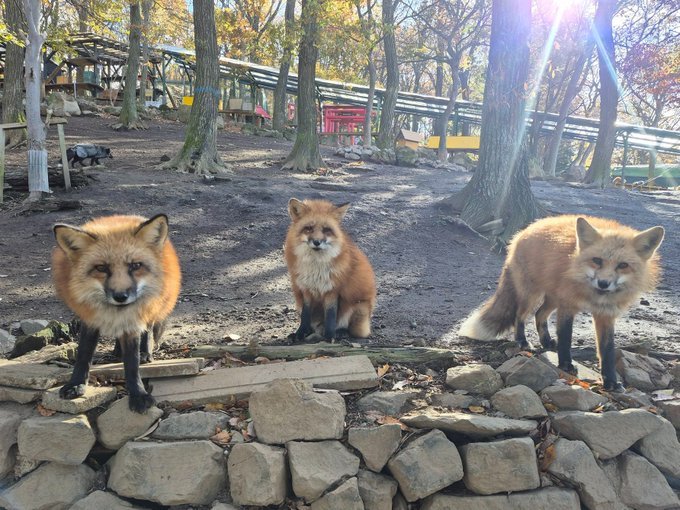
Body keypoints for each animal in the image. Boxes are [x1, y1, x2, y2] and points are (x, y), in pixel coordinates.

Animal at [51, 214, 181, 413]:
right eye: (101, 268)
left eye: (135, 265)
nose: (121, 297)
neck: (115, 313)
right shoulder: (90, 319)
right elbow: (83, 354)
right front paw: (76, 384)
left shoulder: (133, 321)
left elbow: (132, 363)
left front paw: (138, 395)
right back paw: (117, 351)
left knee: (148, 329)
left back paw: (145, 352)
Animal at [284, 198, 377, 341]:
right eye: (309, 228)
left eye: (326, 229)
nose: (317, 242)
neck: (315, 267)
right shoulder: (306, 289)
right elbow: (305, 316)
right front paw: (301, 333)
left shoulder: (332, 290)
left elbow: (331, 316)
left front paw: (329, 337)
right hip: (298, 302)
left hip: (358, 309)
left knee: (350, 329)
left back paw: (340, 332)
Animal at [458, 215, 664, 391]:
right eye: (597, 260)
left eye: (623, 265)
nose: (603, 283)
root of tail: (524, 230)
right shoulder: (568, 305)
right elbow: (566, 336)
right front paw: (565, 364)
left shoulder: (606, 314)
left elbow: (607, 351)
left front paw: (611, 382)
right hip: (532, 295)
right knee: (520, 316)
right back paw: (522, 341)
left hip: (552, 298)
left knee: (539, 314)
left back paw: (547, 342)